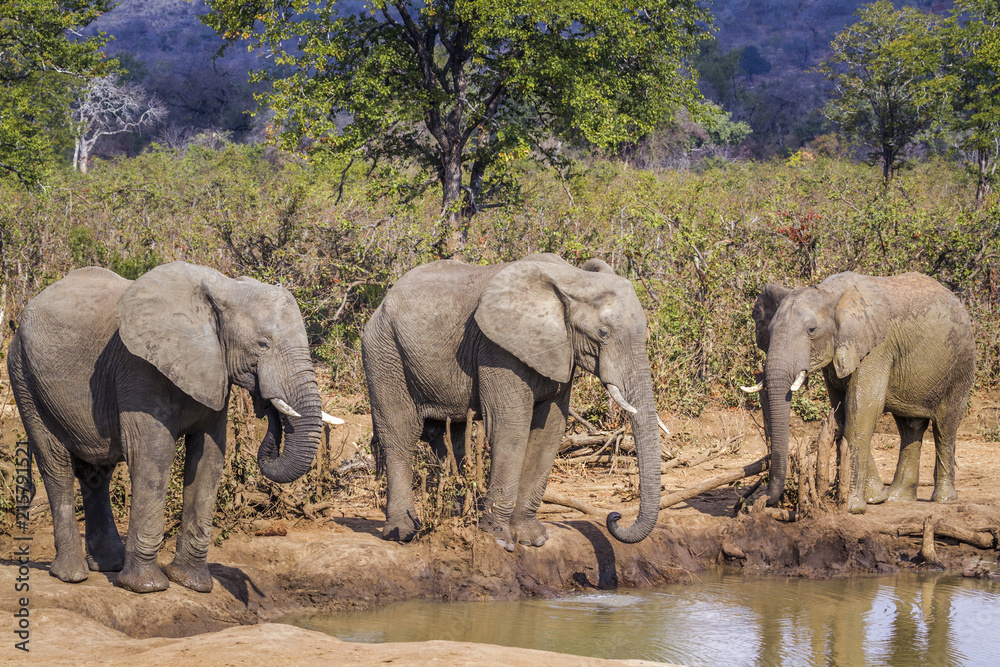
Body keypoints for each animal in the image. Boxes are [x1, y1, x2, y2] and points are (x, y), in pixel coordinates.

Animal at [7, 261, 332, 593]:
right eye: (262, 344)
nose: (265, 405)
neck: (223, 289)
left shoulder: (212, 372)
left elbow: (209, 459)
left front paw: (193, 583)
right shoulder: (138, 366)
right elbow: (154, 456)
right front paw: (146, 587)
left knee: (97, 473)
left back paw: (109, 565)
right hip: (23, 376)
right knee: (55, 464)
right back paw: (72, 574)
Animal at [362, 253, 665, 550]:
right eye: (603, 333)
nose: (615, 517)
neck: (573, 278)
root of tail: (382, 302)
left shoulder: (559, 352)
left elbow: (549, 431)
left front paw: (533, 539)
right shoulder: (498, 350)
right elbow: (511, 429)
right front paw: (498, 539)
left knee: (450, 436)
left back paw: (455, 519)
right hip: (383, 351)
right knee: (401, 433)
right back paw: (403, 532)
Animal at [745, 271, 975, 514]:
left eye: (811, 330)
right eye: (769, 331)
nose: (761, 502)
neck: (830, 294)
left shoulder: (877, 346)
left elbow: (863, 409)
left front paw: (851, 507)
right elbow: (841, 413)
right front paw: (876, 498)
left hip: (961, 362)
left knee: (945, 426)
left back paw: (943, 499)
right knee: (910, 427)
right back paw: (898, 498)